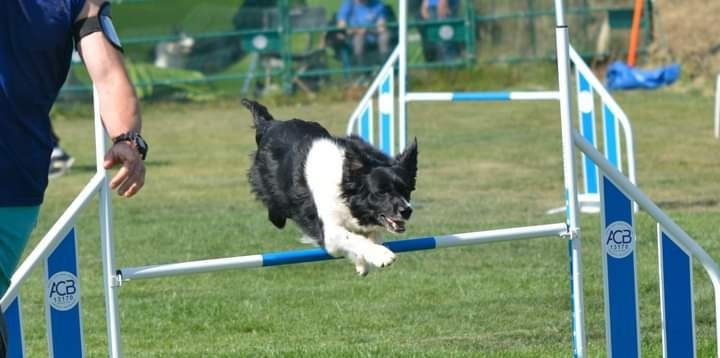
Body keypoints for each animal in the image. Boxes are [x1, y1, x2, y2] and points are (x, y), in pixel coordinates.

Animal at [242, 98, 416, 274]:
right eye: (381, 192)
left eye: (406, 190)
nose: (407, 211)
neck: (344, 186)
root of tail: (270, 123)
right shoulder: (328, 231)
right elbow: (353, 238)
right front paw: (381, 255)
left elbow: (373, 235)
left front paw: (362, 262)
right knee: (276, 211)